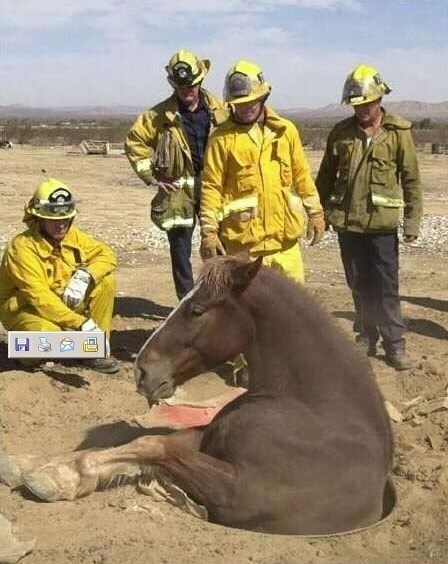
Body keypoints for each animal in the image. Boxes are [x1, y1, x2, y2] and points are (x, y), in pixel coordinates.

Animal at [0, 253, 392, 536]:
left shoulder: (238, 491)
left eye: (197, 309)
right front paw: (46, 469)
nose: (142, 371)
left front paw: (58, 476)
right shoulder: (206, 439)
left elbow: (154, 446)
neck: (315, 409)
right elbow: (141, 443)